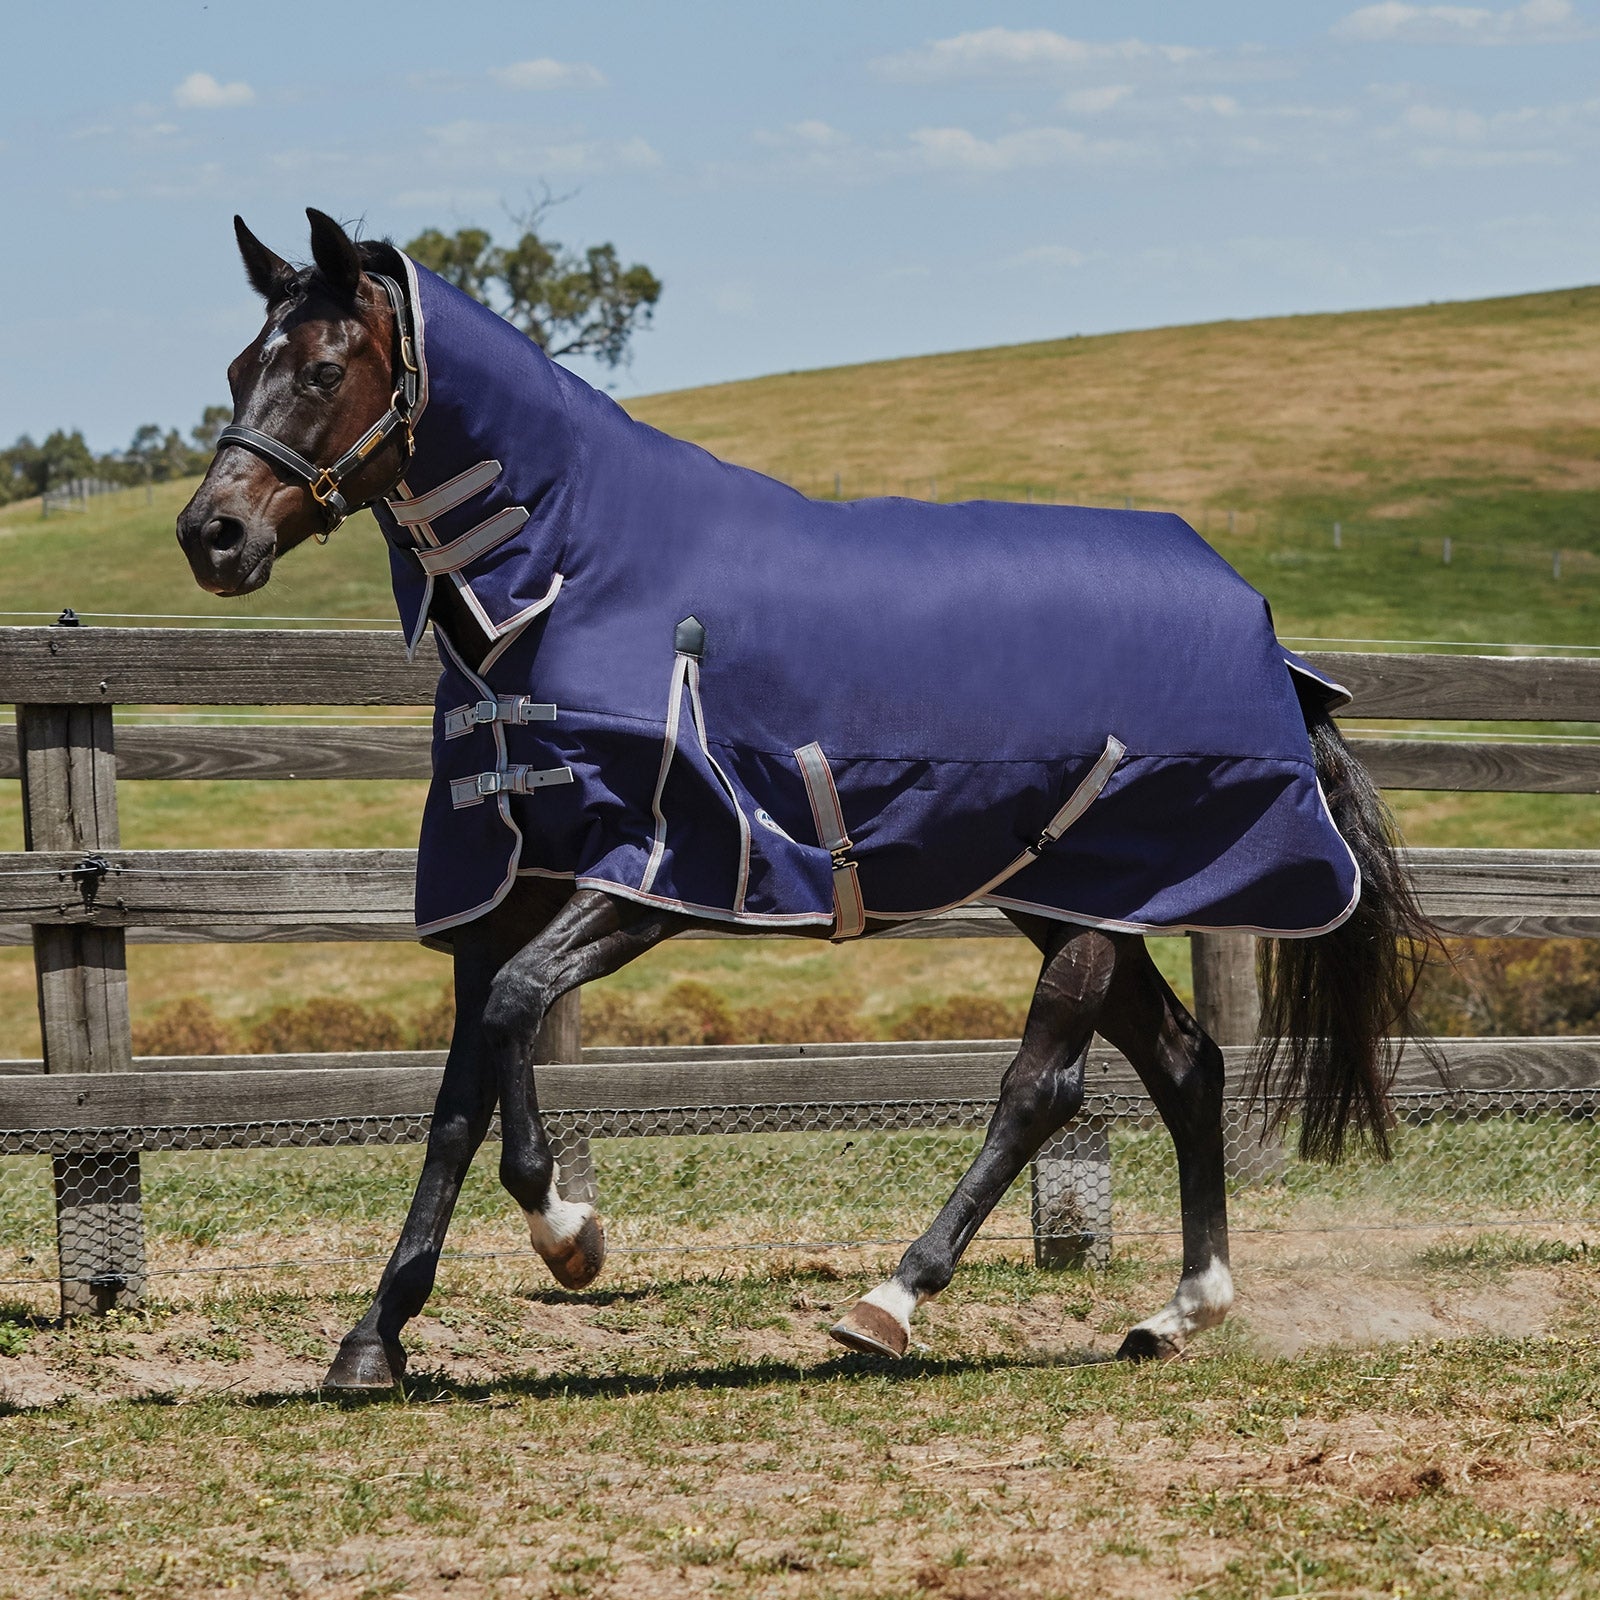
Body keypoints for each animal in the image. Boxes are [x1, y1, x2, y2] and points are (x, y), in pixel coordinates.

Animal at [177, 209, 1433, 1390]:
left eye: (323, 370)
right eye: (238, 366)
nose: (212, 535)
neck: (570, 577)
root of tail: (1262, 630)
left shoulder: (661, 870)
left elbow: (515, 1019)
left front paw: (570, 1234)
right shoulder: (506, 886)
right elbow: (457, 1094)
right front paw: (374, 1337)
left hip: (1099, 895)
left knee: (1045, 1084)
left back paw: (892, 1301)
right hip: (1070, 892)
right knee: (1184, 1061)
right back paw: (1178, 1310)